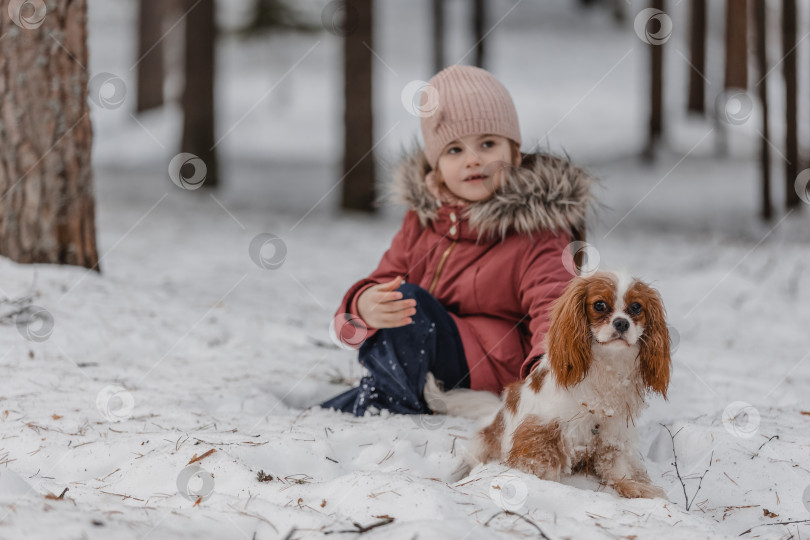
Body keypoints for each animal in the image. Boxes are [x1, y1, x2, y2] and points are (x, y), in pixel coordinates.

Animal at [426, 272, 672, 500]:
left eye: (636, 307)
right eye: (600, 305)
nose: (622, 322)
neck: (607, 364)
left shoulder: (613, 434)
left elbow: (617, 467)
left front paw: (634, 486)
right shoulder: (541, 431)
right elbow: (541, 466)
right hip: (483, 443)